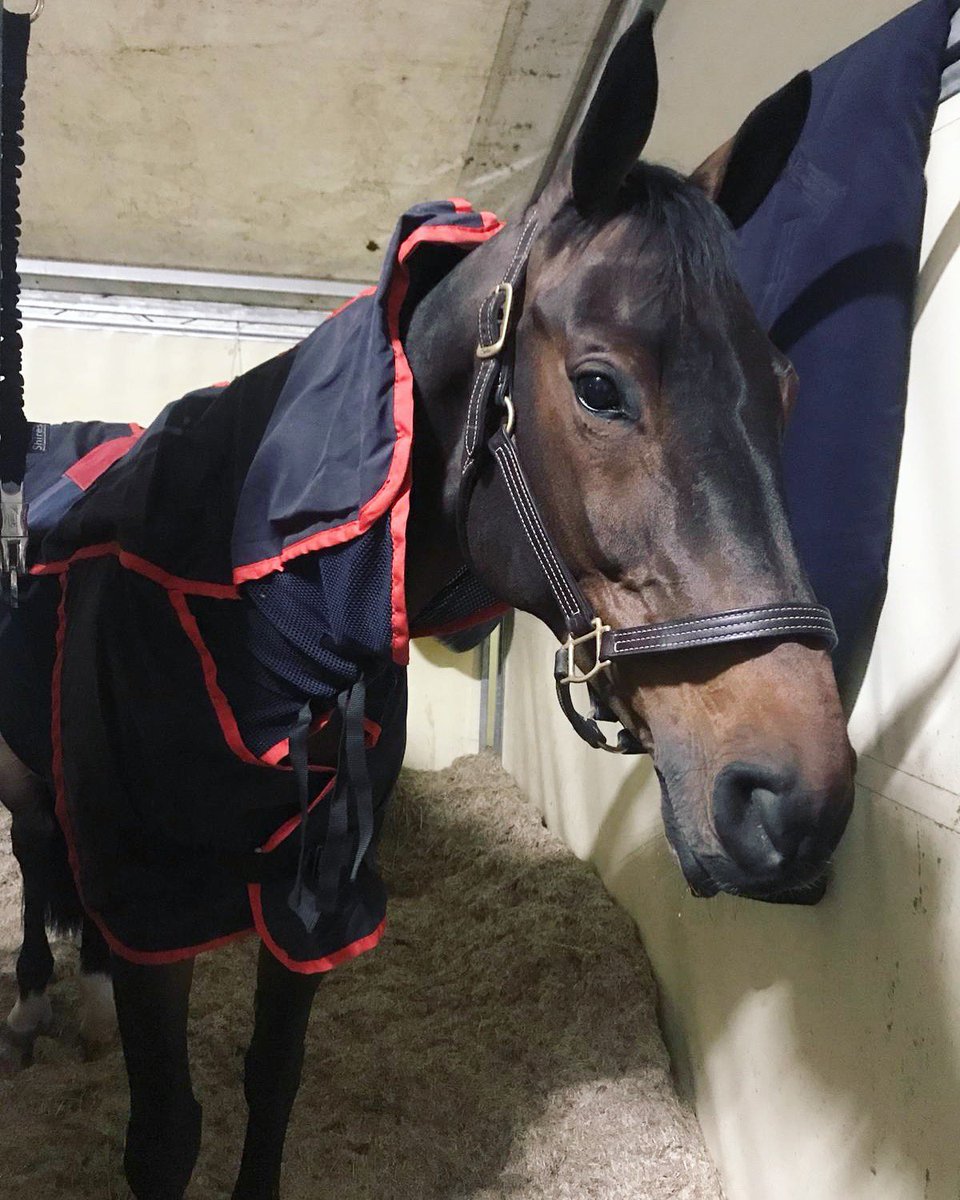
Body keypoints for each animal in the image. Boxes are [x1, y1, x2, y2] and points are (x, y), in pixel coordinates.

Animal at [0, 14, 854, 1199]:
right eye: (599, 387)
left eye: (785, 390)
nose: (795, 794)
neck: (272, 627)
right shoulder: (151, 899)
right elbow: (165, 1132)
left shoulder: (317, 891)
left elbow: (274, 1079)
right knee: (38, 849)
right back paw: (39, 995)